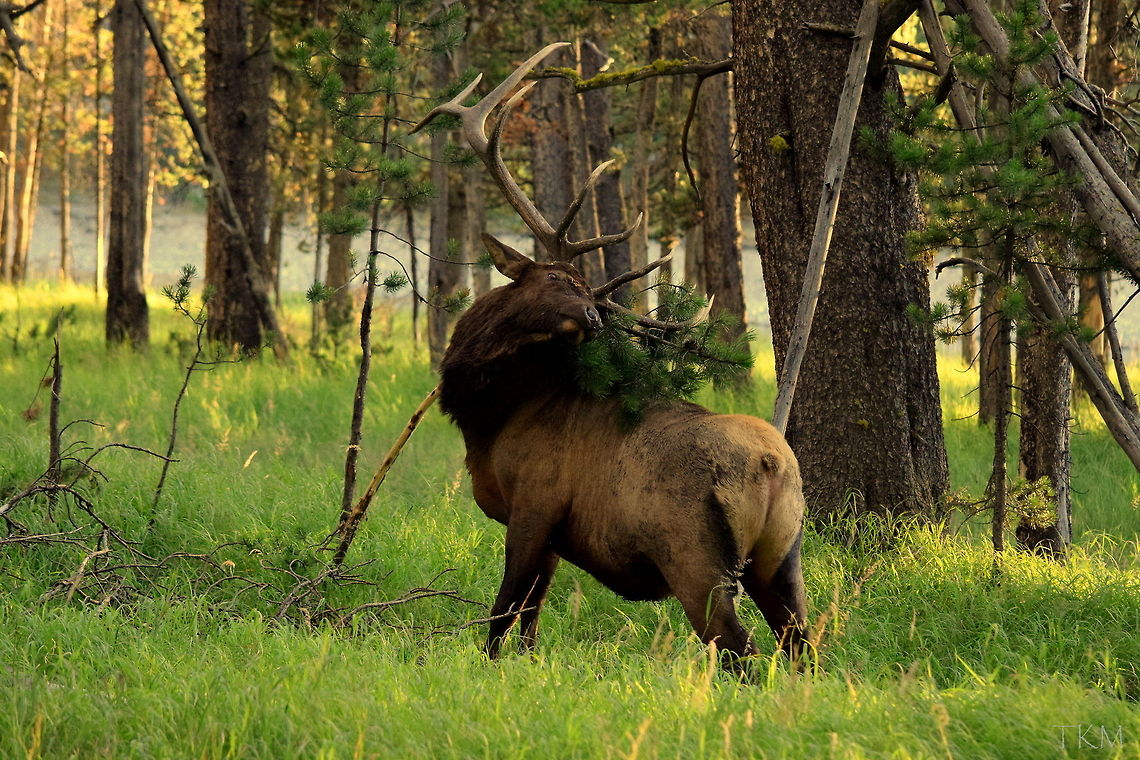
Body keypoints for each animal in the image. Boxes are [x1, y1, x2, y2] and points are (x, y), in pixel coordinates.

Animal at [411, 44, 808, 671]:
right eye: (556, 278)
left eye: (580, 284)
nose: (595, 317)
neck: (491, 419)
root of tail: (772, 465)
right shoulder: (553, 535)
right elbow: (531, 618)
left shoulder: (534, 506)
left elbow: (501, 614)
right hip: (783, 556)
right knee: (804, 644)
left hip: (695, 556)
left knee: (738, 649)